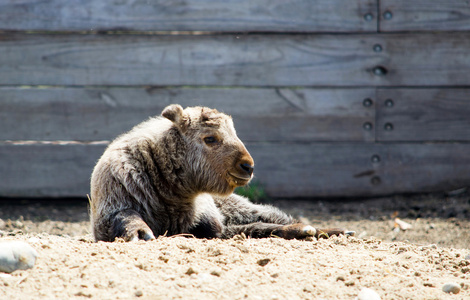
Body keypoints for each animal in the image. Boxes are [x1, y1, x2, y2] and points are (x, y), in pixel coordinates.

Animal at [90, 105, 350, 241]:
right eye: (210, 138)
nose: (248, 166)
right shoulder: (110, 212)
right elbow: (128, 217)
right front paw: (140, 232)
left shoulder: (211, 226)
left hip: (242, 207)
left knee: (276, 218)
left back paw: (330, 230)